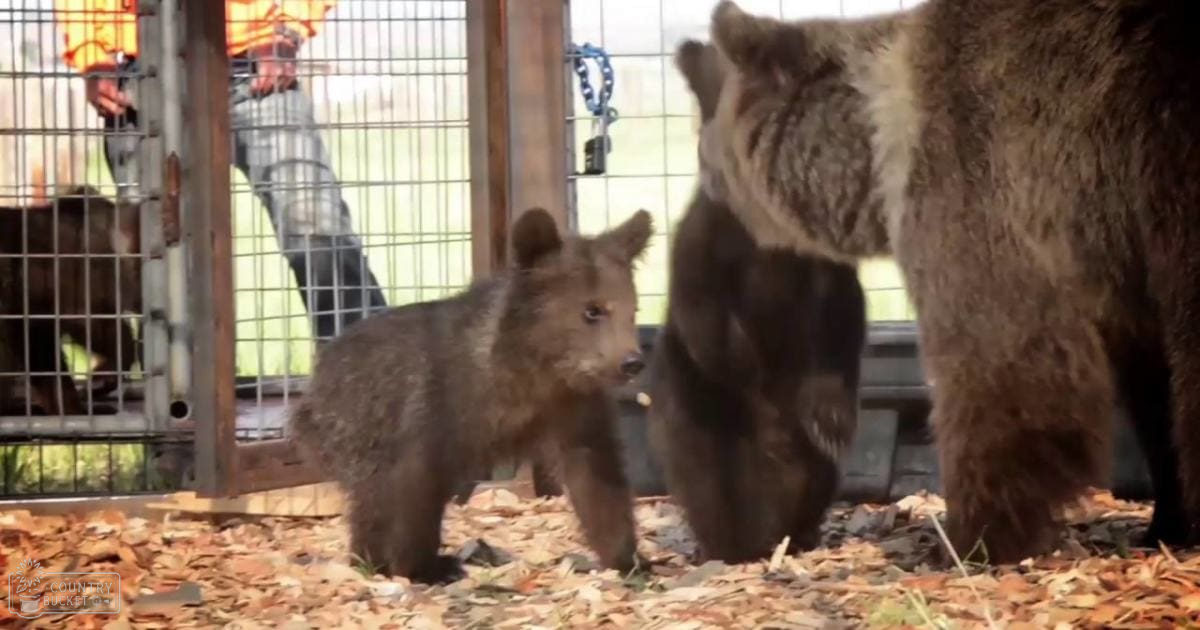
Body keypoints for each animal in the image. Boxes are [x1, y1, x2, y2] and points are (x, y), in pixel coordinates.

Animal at [288, 206, 654, 584]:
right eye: (592, 310)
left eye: (633, 310)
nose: (631, 362)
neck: (532, 372)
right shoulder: (433, 410)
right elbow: (409, 494)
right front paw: (420, 566)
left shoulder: (573, 409)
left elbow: (597, 477)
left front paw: (628, 558)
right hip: (352, 425)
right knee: (372, 498)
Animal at [644, 39, 867, 563]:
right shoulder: (700, 259)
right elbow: (704, 315)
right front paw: (746, 367)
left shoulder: (829, 276)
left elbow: (842, 327)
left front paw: (832, 417)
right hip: (697, 436)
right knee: (708, 479)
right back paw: (730, 547)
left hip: (815, 472)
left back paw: (797, 535)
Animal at [692, 0, 1200, 564]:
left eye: (704, 147)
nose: (704, 183)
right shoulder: (1120, 265)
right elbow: (1152, 387)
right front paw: (1166, 523)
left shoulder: (982, 177)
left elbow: (1003, 367)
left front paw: (973, 538)